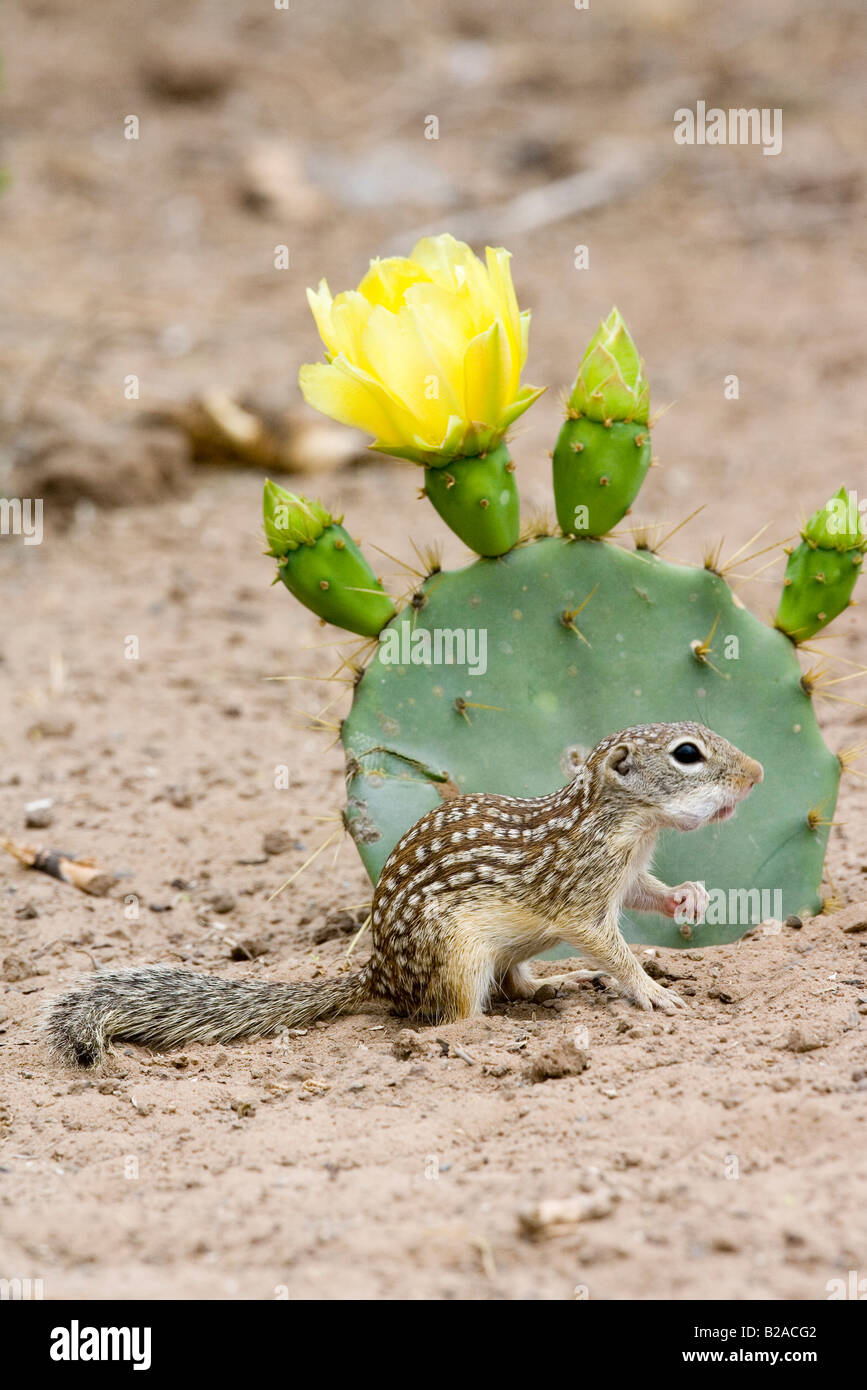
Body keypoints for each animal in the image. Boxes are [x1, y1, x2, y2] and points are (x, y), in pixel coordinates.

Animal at [45, 722, 766, 1067]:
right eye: (687, 754)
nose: (759, 772)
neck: (621, 820)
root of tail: (379, 974)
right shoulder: (582, 896)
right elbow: (608, 945)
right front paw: (649, 989)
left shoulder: (625, 874)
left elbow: (646, 894)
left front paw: (687, 899)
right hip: (457, 956)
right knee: (450, 1017)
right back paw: (490, 1028)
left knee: (513, 984)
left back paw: (547, 988)